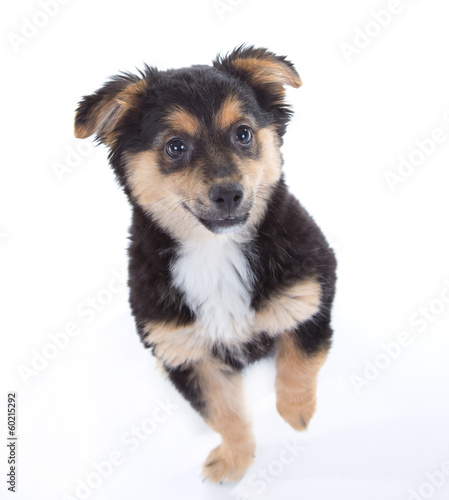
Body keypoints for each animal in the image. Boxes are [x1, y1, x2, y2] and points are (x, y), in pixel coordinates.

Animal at [74, 47, 336, 484]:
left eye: (243, 134)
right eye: (175, 146)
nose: (229, 194)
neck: (215, 251)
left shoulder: (309, 296)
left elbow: (300, 362)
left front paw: (297, 414)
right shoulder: (185, 353)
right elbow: (223, 413)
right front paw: (234, 460)